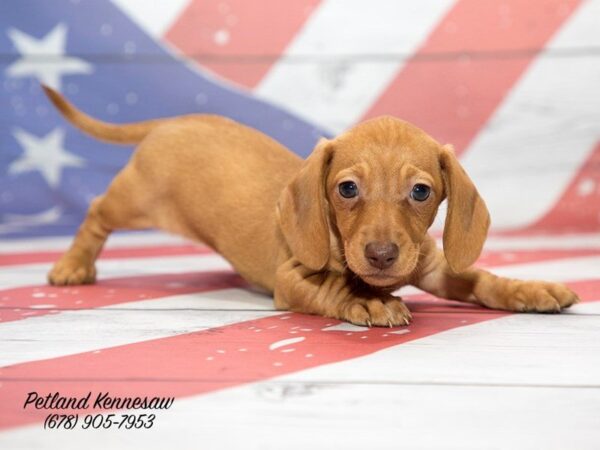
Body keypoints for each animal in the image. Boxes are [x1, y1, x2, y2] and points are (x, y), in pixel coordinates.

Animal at [42, 86, 576, 326]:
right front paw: (366, 300)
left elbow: (480, 279)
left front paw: (528, 288)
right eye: (347, 189)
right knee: (96, 212)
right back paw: (73, 264)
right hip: (133, 201)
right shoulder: (291, 279)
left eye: (421, 192)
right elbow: (331, 290)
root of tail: (177, 122)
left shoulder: (433, 267)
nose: (382, 256)